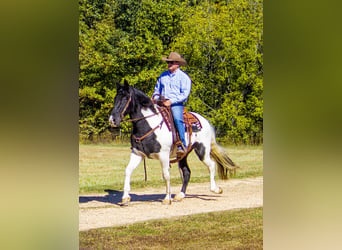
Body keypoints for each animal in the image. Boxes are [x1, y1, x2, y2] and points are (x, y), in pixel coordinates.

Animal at [109, 80, 238, 205]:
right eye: (115, 98)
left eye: (125, 98)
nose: (112, 120)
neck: (148, 125)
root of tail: (204, 120)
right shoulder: (137, 154)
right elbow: (128, 170)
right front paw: (125, 197)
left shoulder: (163, 155)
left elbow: (166, 175)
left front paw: (167, 198)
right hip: (183, 154)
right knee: (187, 172)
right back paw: (180, 195)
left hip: (202, 150)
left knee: (211, 165)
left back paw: (216, 189)